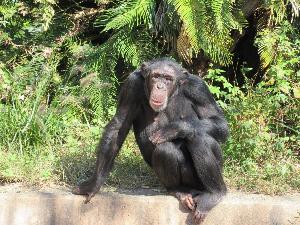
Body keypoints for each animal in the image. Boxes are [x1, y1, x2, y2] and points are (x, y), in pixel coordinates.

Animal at [73, 58, 230, 223]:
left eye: (168, 78)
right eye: (156, 76)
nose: (160, 86)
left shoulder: (199, 88)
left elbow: (219, 121)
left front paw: (174, 129)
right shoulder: (131, 86)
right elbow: (118, 127)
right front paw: (93, 185)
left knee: (199, 137)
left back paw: (214, 194)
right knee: (166, 150)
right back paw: (179, 191)